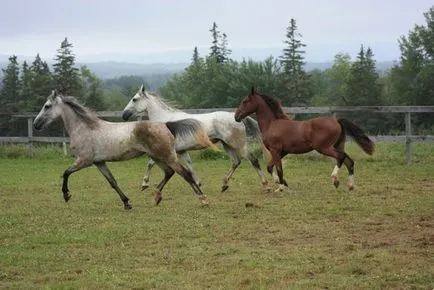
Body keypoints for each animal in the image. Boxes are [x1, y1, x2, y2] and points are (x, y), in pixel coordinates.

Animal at [32, 90, 214, 208]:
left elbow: (65, 172)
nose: (36, 124)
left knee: (185, 174)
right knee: (169, 172)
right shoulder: (99, 162)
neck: (84, 128)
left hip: (167, 156)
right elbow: (112, 182)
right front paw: (127, 203)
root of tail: (166, 124)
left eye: (47, 106)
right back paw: (156, 197)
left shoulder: (84, 160)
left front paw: (66, 195)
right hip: (157, 157)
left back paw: (203, 200)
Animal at [122, 84, 270, 193]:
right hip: (227, 145)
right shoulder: (181, 151)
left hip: (238, 144)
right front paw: (198, 183)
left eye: (134, 99)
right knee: (235, 162)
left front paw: (144, 184)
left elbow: (150, 163)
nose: (124, 115)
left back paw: (266, 185)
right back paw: (224, 185)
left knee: (253, 160)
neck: (165, 121)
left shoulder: (167, 151)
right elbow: (190, 165)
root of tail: (236, 117)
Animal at [236, 88, 374, 193]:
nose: (236, 116)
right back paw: (350, 186)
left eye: (245, 101)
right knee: (349, 161)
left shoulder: (276, 150)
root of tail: (337, 121)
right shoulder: (282, 151)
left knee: (341, 157)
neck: (272, 124)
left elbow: (279, 169)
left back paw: (335, 179)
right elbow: (270, 167)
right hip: (338, 145)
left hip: (324, 148)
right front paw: (283, 183)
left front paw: (280, 187)